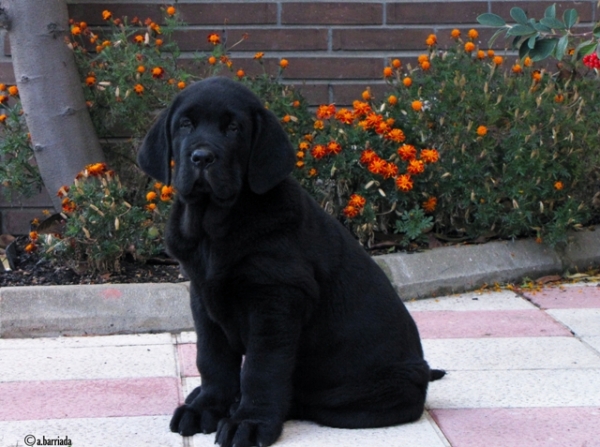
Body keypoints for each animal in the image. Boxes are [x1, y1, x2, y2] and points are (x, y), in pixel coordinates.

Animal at [138, 78, 442, 447]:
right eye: (185, 124)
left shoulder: (275, 299)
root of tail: (422, 373)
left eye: (234, 128)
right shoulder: (202, 295)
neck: (215, 227)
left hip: (368, 392)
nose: (202, 157)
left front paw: (249, 422)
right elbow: (211, 359)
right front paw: (207, 406)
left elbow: (262, 369)